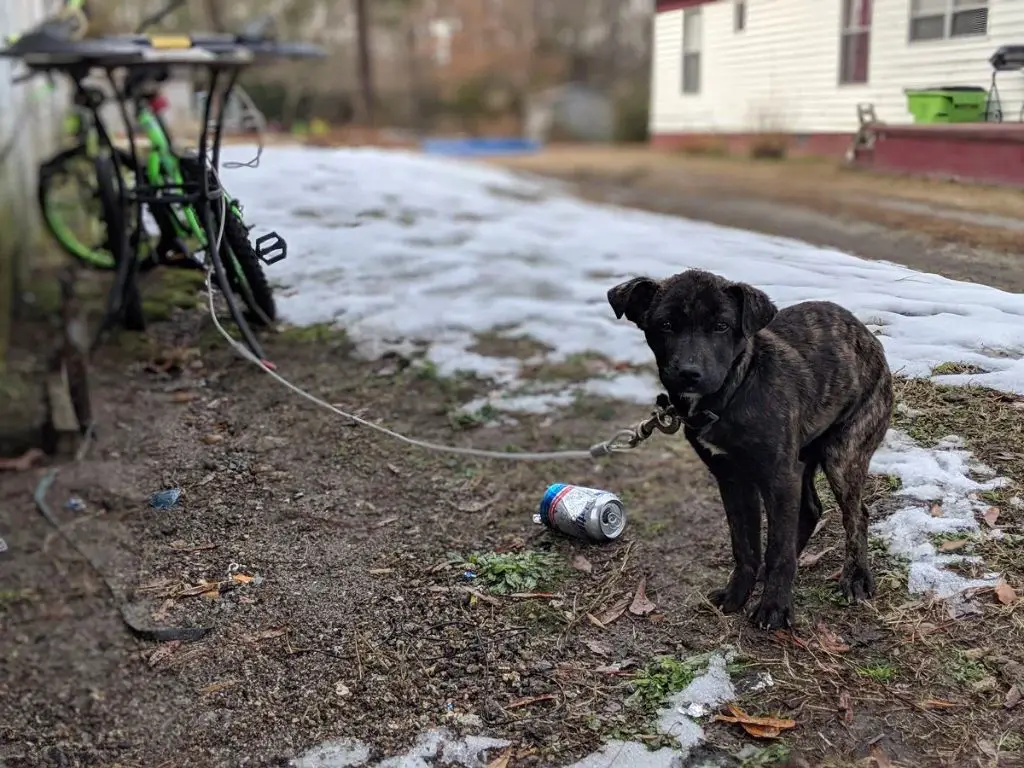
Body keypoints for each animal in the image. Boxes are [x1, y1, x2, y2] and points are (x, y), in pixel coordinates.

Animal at [610, 270, 892, 630]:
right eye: (666, 325)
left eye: (722, 326)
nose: (689, 373)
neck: (733, 392)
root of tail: (867, 336)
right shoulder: (731, 477)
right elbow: (745, 544)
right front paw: (738, 594)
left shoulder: (777, 476)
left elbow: (777, 549)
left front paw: (774, 607)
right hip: (802, 457)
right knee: (809, 511)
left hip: (844, 454)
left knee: (856, 515)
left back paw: (855, 578)